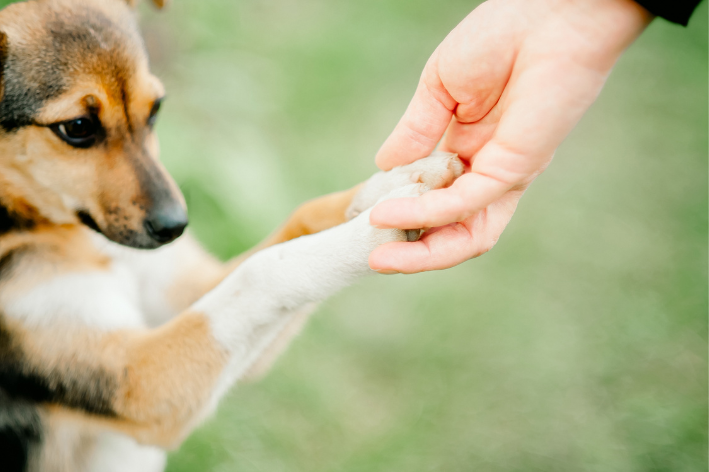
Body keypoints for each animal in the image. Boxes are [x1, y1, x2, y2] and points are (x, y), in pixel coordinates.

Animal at [0, 0, 464, 472]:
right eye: (77, 127)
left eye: (156, 109)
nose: (175, 226)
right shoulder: (141, 381)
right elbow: (263, 271)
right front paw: (374, 230)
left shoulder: (185, 299)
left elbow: (298, 224)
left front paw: (389, 185)